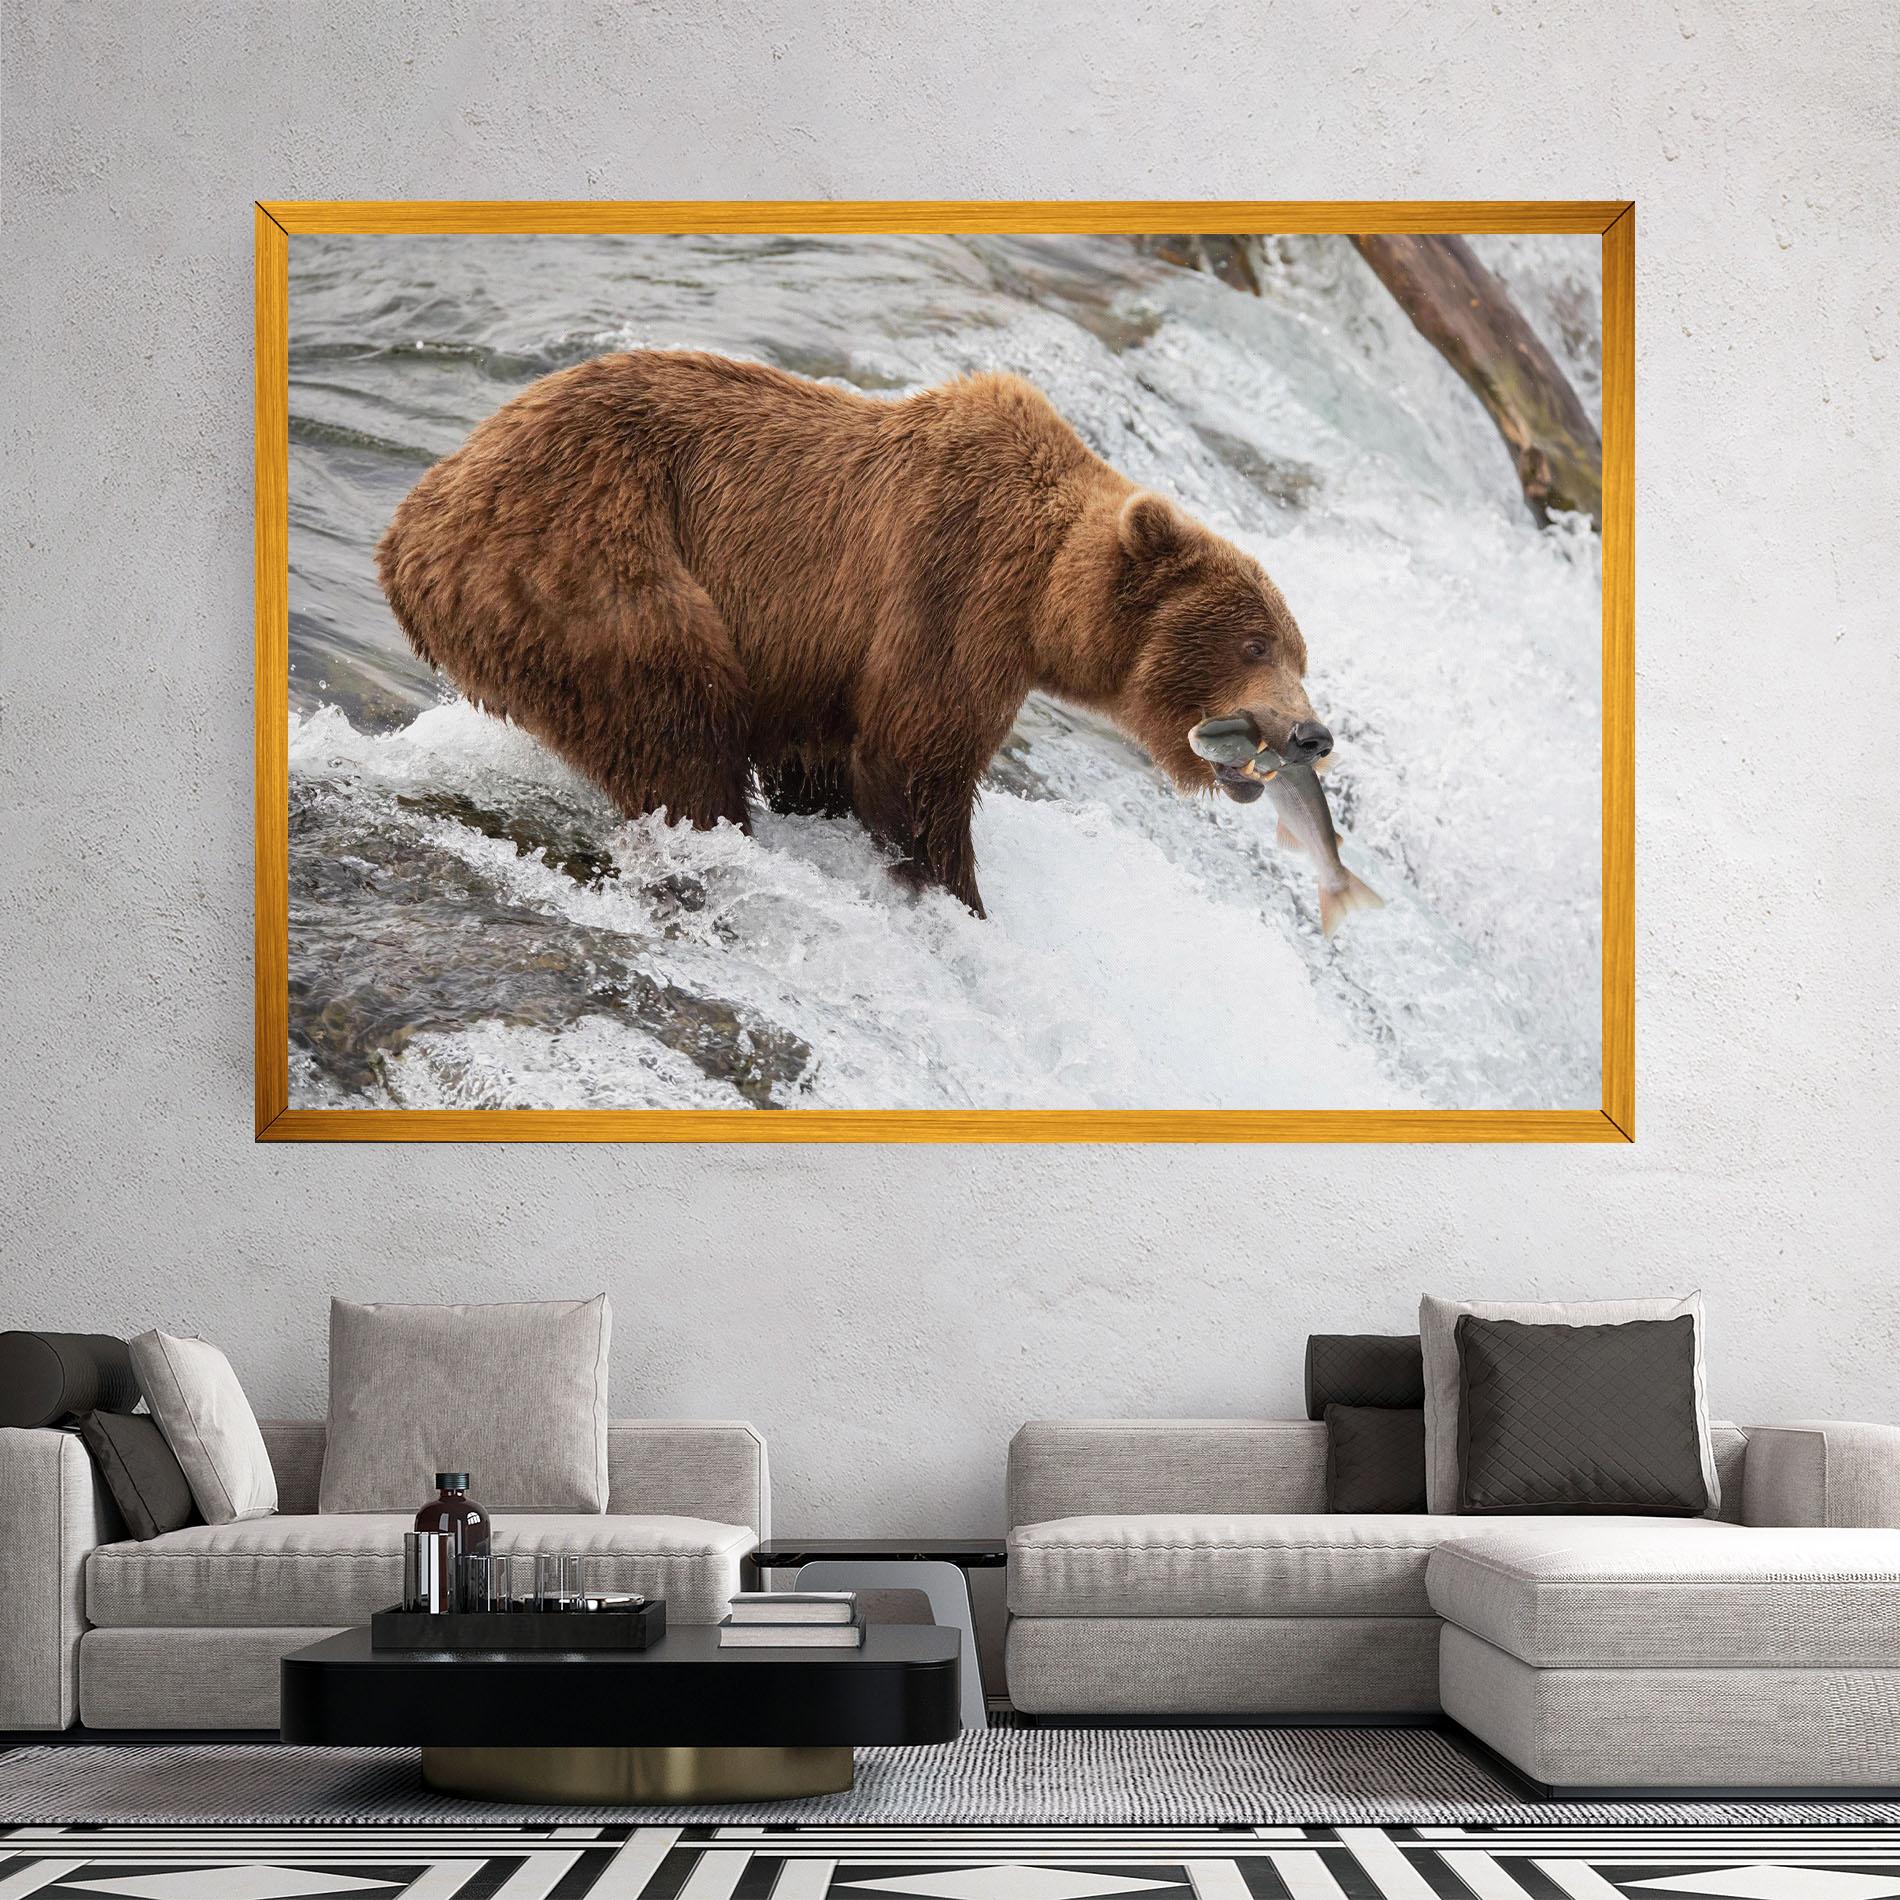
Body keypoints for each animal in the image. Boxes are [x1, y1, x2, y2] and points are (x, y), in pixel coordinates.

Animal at [376, 349, 1332, 918]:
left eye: (1299, 652)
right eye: (1254, 644)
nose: (1311, 735)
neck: (1042, 598)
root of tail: (411, 523)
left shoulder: (821, 664)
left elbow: (827, 760)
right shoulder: (950, 589)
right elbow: (915, 763)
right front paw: (955, 896)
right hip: (589, 562)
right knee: (675, 721)